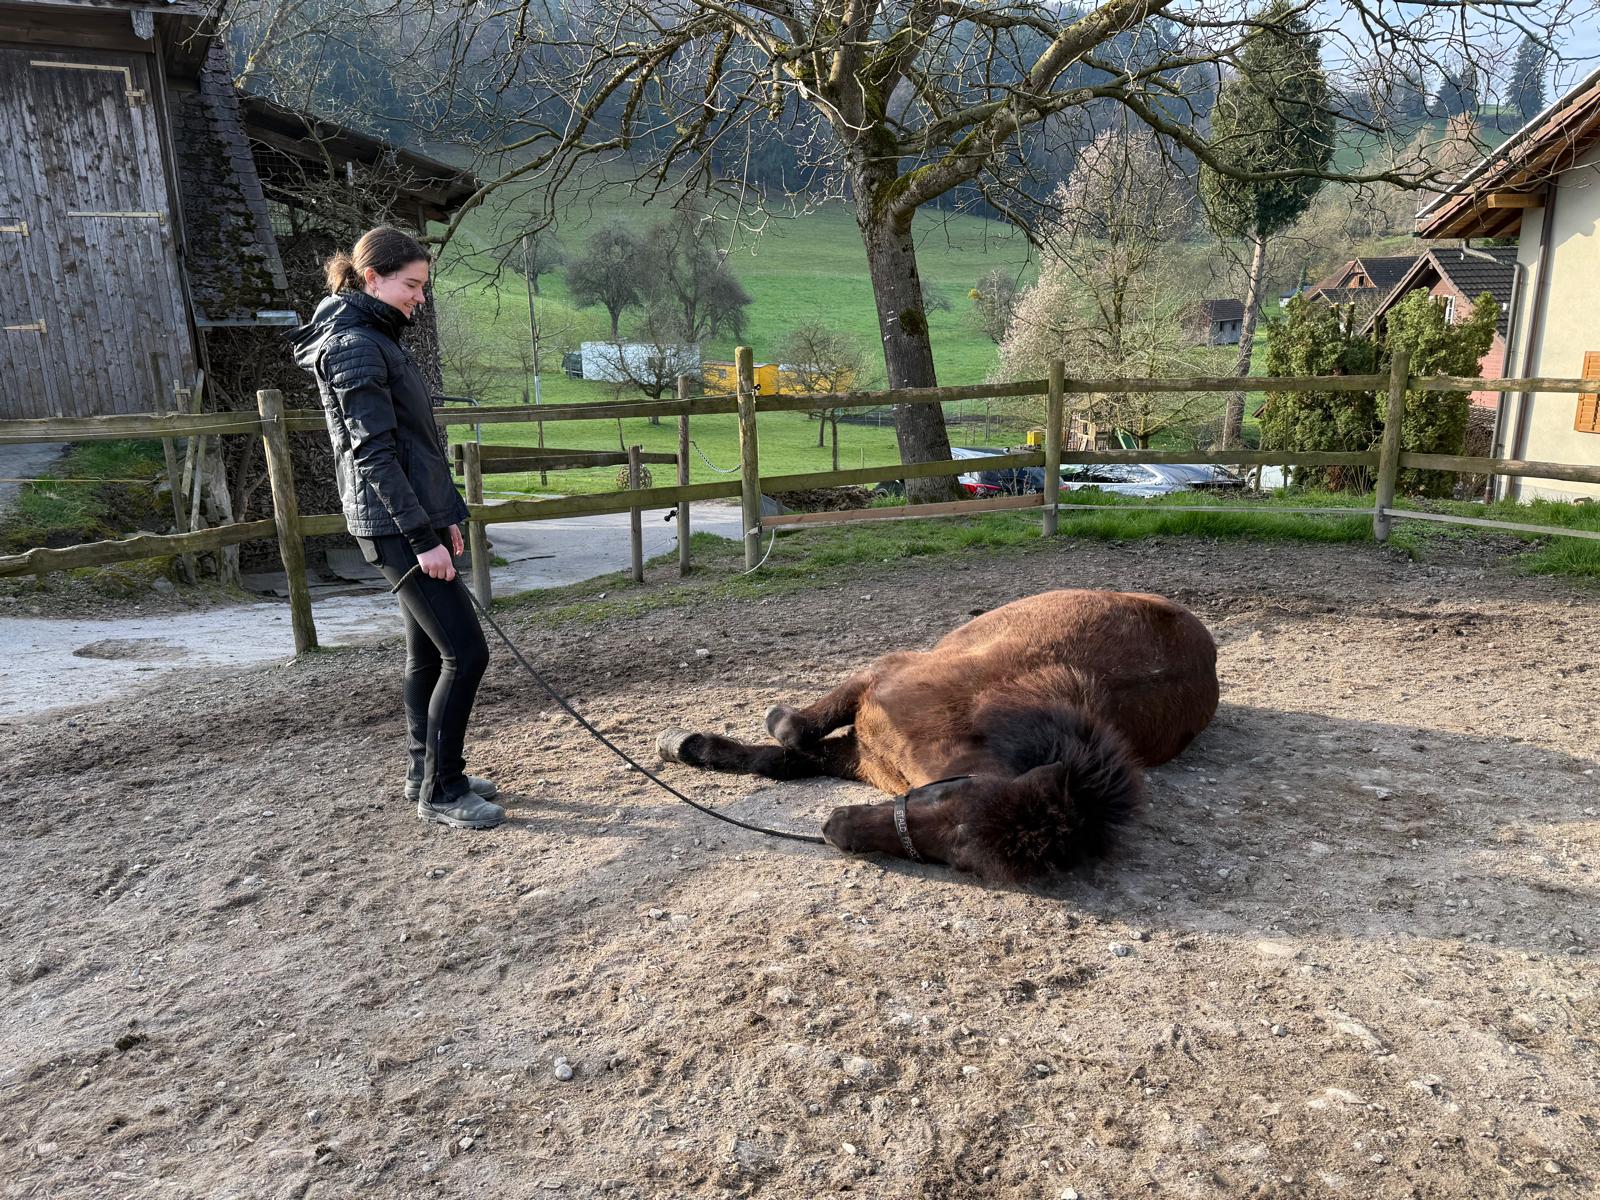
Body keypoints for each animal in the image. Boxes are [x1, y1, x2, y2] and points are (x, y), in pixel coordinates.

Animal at [655, 588, 1218, 882]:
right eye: (944, 796)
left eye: (960, 859)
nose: (834, 830)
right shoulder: (875, 683)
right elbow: (790, 737)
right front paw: (684, 744)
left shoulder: (859, 755)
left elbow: (787, 755)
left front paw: (688, 745)